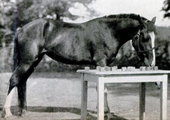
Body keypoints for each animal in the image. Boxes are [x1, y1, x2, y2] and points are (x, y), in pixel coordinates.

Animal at [1, 13, 156, 118]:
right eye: (146, 37)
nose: (151, 62)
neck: (109, 31)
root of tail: (22, 29)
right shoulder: (101, 63)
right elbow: (103, 88)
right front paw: (105, 112)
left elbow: (102, 88)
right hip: (26, 62)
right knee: (14, 80)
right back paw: (7, 112)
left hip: (33, 62)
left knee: (22, 82)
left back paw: (23, 111)